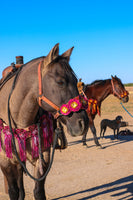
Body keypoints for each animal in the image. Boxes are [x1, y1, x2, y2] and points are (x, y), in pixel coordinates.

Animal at [0, 44, 89, 200]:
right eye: (60, 82)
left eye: (76, 81)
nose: (82, 123)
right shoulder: (5, 162)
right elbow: (13, 191)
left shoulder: (43, 158)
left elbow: (39, 192)